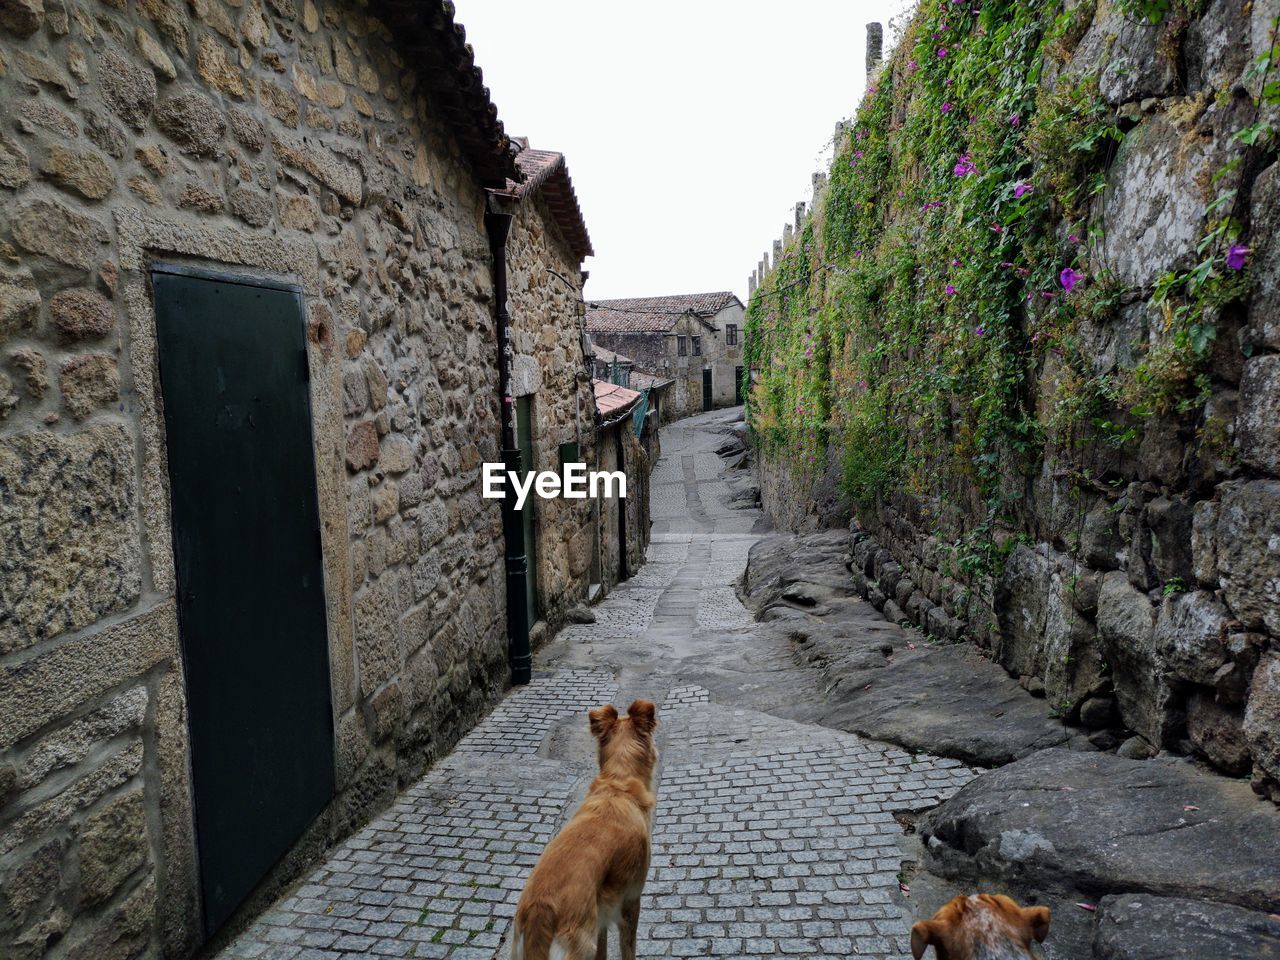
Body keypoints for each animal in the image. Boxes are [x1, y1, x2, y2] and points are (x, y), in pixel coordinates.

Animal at [509, 701, 660, 960]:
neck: (618, 783)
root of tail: (541, 907)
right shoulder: (631, 901)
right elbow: (628, 949)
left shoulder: (601, 919)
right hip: (581, 946)